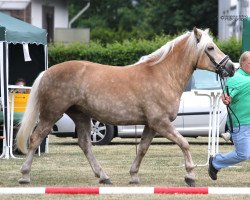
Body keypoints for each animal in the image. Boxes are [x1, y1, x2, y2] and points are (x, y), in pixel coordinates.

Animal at [15, 27, 234, 187]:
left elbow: (143, 149)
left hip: (81, 116)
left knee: (85, 144)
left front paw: (134, 175)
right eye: (210, 48)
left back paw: (104, 176)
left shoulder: (151, 125)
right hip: (51, 114)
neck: (162, 74)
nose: (230, 67)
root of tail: (47, 72)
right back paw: (25, 176)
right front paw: (190, 175)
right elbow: (184, 143)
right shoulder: (160, 123)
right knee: (35, 139)